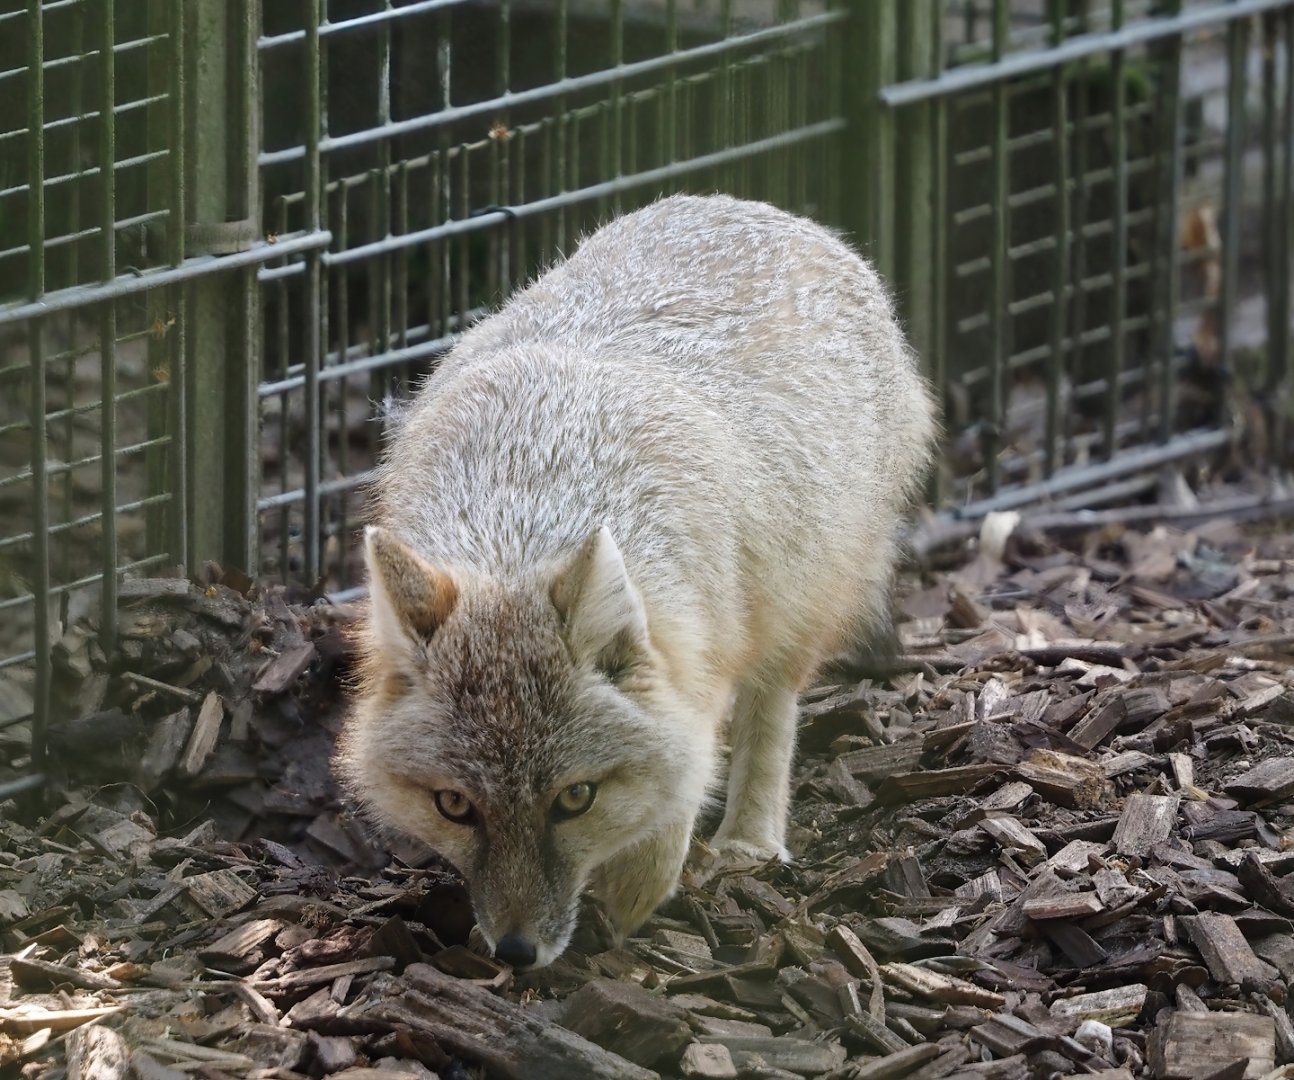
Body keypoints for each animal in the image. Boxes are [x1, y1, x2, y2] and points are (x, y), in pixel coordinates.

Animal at [337, 194, 937, 969]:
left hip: (795, 605)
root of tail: (752, 206)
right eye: (455, 806)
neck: (524, 507)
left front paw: (635, 895)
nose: (515, 952)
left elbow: (680, 782)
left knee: (772, 712)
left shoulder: (697, 660)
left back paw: (749, 840)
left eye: (575, 798)